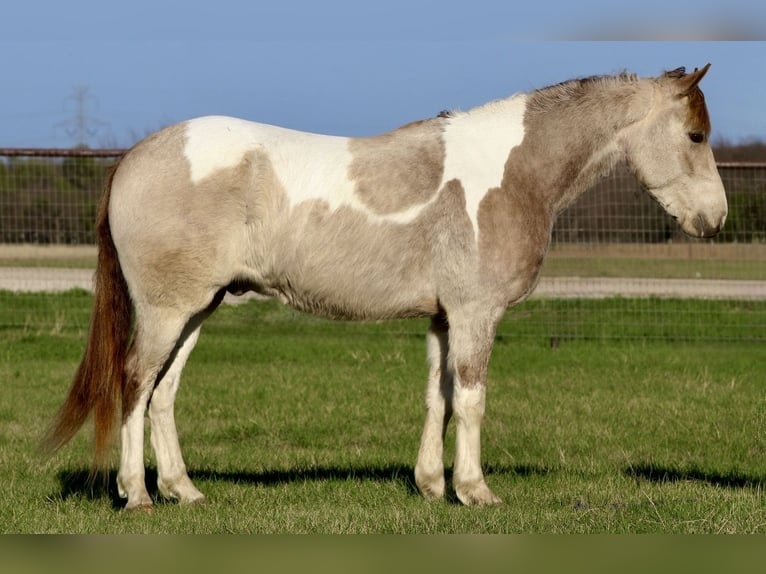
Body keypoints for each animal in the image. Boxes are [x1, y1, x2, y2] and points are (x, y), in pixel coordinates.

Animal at [45, 65, 727, 509]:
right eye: (694, 136)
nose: (715, 220)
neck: (510, 174)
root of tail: (136, 157)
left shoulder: (443, 318)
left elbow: (437, 398)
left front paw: (431, 486)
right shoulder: (476, 314)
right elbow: (472, 400)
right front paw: (475, 491)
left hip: (197, 309)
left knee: (162, 393)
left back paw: (183, 490)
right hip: (167, 310)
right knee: (135, 384)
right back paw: (136, 495)